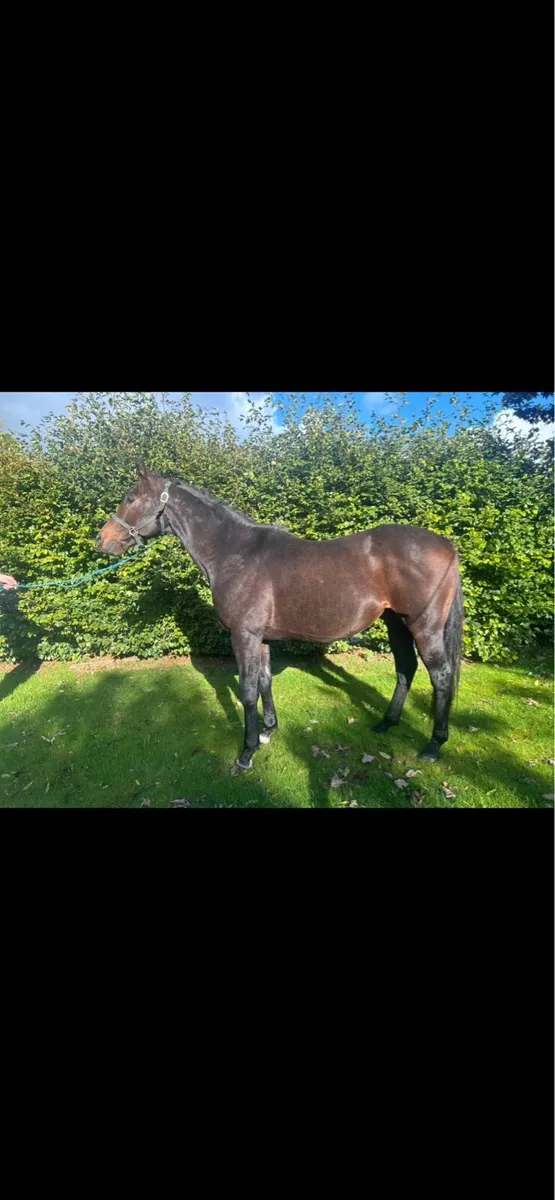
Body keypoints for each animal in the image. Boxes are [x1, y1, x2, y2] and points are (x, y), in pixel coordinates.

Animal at [96, 459, 464, 773]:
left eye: (130, 498)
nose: (102, 540)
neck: (235, 553)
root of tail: (447, 545)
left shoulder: (243, 635)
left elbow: (247, 691)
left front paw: (245, 754)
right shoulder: (260, 638)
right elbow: (264, 682)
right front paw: (267, 731)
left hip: (424, 627)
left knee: (441, 677)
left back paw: (433, 746)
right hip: (396, 623)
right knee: (405, 669)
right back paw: (386, 723)